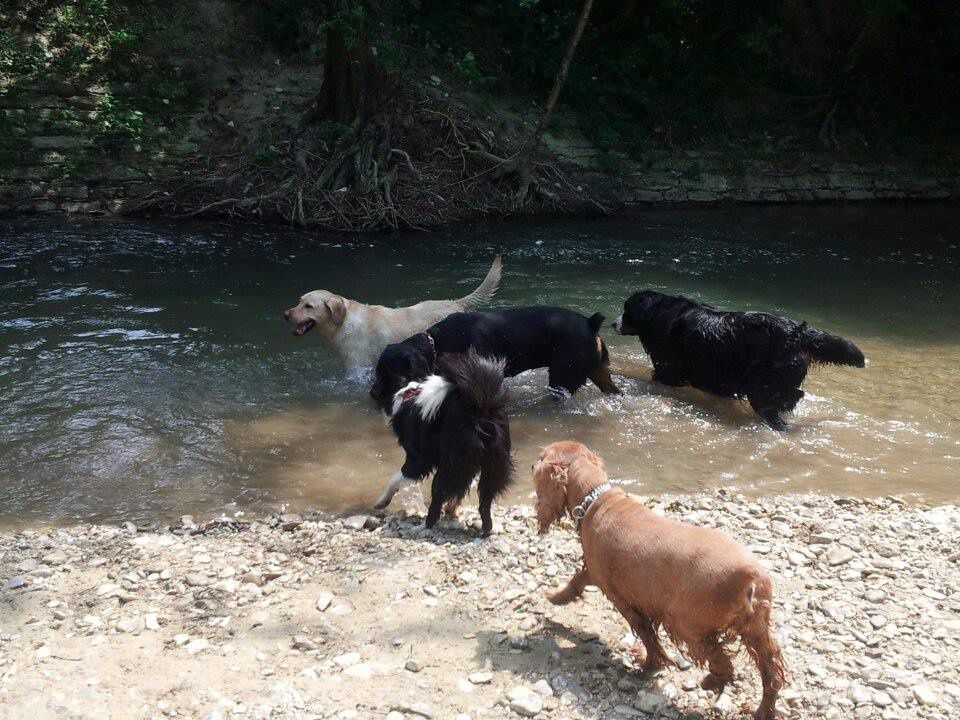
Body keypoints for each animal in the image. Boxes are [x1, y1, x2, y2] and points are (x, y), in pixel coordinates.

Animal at [372, 304, 620, 408]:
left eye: (390, 374)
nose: (372, 394)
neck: (437, 344)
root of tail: (590, 323)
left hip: (562, 377)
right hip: (599, 371)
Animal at [372, 348, 512, 536]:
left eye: (382, 374)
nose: (372, 392)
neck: (408, 392)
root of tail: (480, 412)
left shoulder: (418, 460)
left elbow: (394, 479)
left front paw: (382, 501)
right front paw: (452, 508)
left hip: (450, 466)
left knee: (437, 499)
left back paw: (423, 526)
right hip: (492, 466)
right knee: (484, 503)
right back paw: (486, 528)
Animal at [616, 292, 872, 430]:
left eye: (626, 310)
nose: (613, 323)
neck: (658, 314)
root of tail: (797, 332)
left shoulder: (667, 368)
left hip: (763, 384)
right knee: (794, 395)